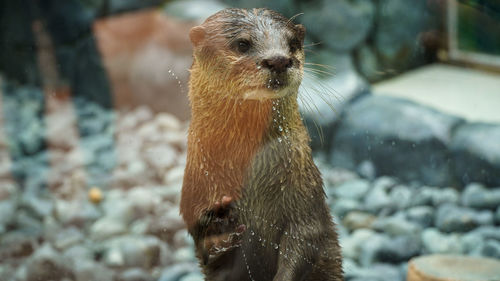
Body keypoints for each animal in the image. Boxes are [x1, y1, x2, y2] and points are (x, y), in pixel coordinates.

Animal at [180, 7, 344, 278]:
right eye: (242, 44)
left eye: (292, 43)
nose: (278, 60)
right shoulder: (195, 190)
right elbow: (200, 235)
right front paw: (220, 233)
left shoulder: (305, 195)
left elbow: (306, 239)